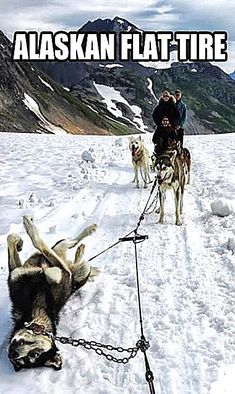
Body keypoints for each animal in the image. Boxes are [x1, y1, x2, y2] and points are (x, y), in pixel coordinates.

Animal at [7, 217, 97, 370]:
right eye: (22, 360)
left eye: (35, 354)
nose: (13, 353)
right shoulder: (16, 273)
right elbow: (11, 238)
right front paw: (20, 242)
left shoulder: (62, 272)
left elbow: (38, 242)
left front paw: (28, 228)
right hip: (66, 256)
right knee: (69, 246)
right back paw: (80, 249)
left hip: (80, 268)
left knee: (70, 245)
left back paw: (87, 234)